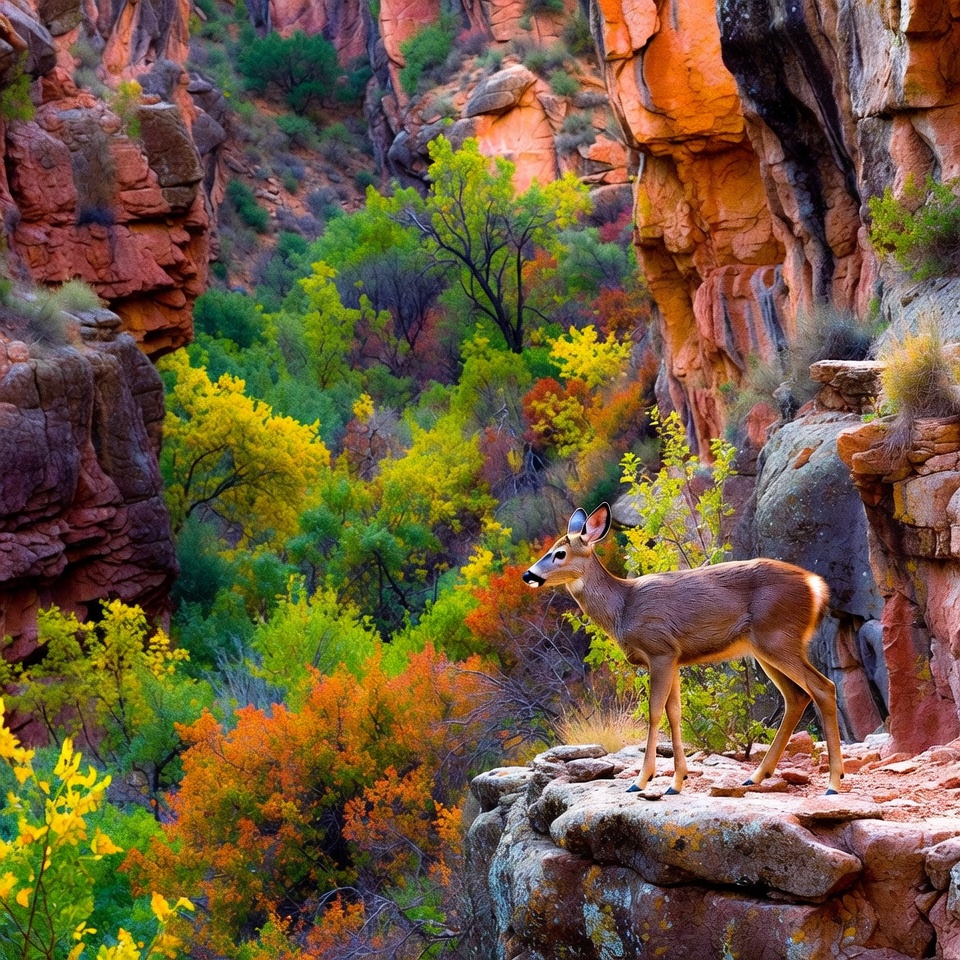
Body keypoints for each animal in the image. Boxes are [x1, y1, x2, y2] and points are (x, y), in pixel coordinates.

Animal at [522, 503, 843, 796]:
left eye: (560, 553)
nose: (528, 575)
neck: (623, 608)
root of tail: (816, 586)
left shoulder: (659, 649)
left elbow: (654, 713)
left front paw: (642, 781)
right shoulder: (675, 657)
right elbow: (674, 712)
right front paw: (676, 782)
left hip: (777, 637)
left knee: (823, 687)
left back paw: (833, 783)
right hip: (765, 647)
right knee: (797, 696)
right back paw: (756, 776)